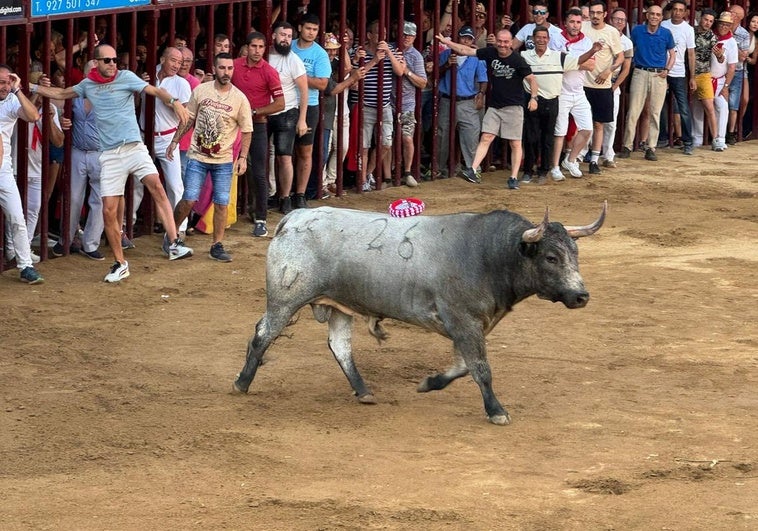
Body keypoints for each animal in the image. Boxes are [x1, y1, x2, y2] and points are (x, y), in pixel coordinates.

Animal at [235, 202, 608, 426]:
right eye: (551, 257)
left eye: (574, 254)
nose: (581, 296)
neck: (488, 255)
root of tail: (295, 217)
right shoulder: (465, 323)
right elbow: (481, 369)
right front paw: (497, 411)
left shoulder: (467, 327)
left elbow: (461, 367)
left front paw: (430, 383)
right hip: (285, 299)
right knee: (263, 334)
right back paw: (241, 382)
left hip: (340, 305)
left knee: (340, 347)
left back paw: (364, 391)